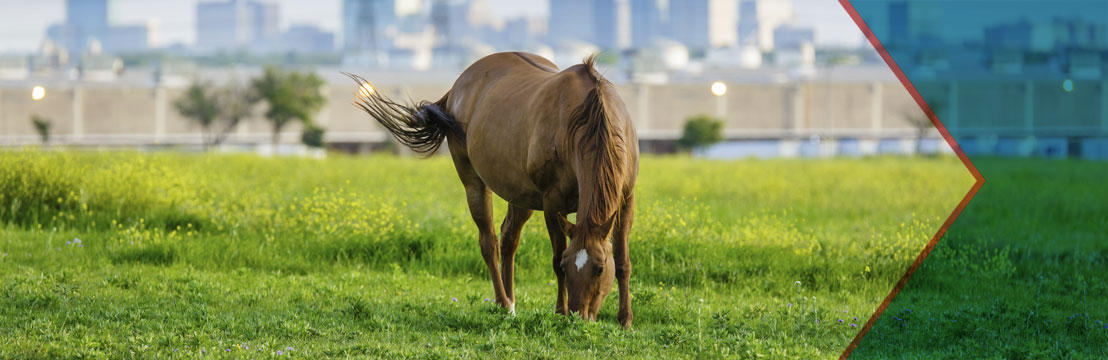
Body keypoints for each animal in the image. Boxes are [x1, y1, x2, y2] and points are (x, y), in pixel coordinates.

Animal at [345, 51, 642, 327]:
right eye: (568, 266)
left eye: (599, 268)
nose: (579, 317)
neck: (587, 118)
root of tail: (456, 88)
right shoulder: (552, 203)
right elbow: (555, 255)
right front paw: (560, 311)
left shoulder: (626, 199)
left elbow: (623, 261)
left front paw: (625, 320)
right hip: (474, 184)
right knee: (490, 242)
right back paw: (504, 304)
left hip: (521, 195)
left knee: (509, 238)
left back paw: (511, 302)